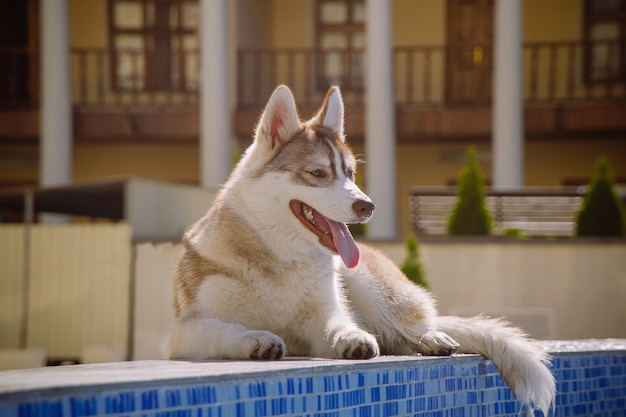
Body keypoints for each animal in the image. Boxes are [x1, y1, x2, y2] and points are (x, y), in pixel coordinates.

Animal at [163, 86, 552, 414]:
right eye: (318, 173)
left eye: (349, 173)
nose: (368, 206)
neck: (281, 259)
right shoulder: (185, 332)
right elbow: (226, 329)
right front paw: (256, 338)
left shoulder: (321, 319)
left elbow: (338, 323)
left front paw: (352, 336)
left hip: (366, 285)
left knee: (411, 325)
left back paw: (430, 337)